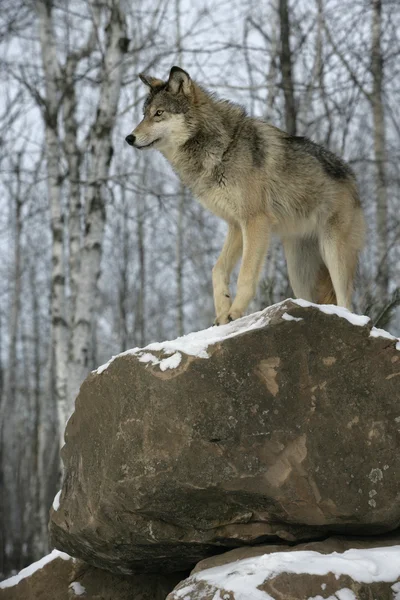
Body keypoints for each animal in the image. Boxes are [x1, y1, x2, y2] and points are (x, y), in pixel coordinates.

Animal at [125, 65, 366, 324]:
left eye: (159, 113)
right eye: (144, 114)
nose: (129, 138)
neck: (221, 148)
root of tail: (353, 179)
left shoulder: (255, 221)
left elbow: (246, 275)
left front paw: (235, 312)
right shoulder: (235, 224)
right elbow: (218, 269)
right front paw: (222, 311)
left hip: (334, 254)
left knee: (347, 302)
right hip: (298, 272)